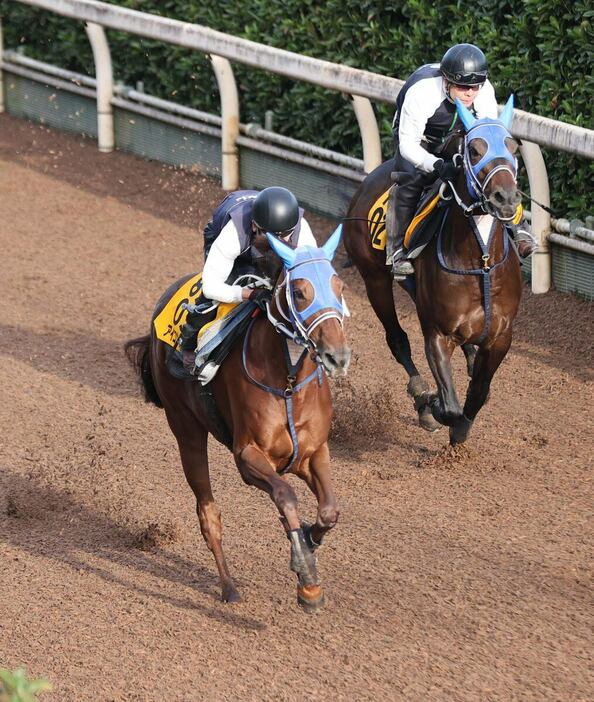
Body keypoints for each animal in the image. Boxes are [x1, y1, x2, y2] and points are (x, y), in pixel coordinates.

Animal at [125, 227, 346, 612]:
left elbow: (328, 511)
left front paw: (308, 539)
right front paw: (306, 577)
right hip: (186, 431)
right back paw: (228, 587)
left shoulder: (313, 452)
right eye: (300, 292)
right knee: (208, 513)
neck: (288, 382)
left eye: (339, 286)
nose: (337, 355)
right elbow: (286, 495)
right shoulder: (247, 455)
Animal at [342, 97, 520, 446]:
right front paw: (436, 406)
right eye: (473, 150)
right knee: (397, 339)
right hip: (374, 280)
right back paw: (422, 396)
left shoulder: (501, 337)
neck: (480, 262)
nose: (504, 197)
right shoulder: (437, 331)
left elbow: (479, 392)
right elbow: (450, 406)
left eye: (512, 146)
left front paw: (463, 427)